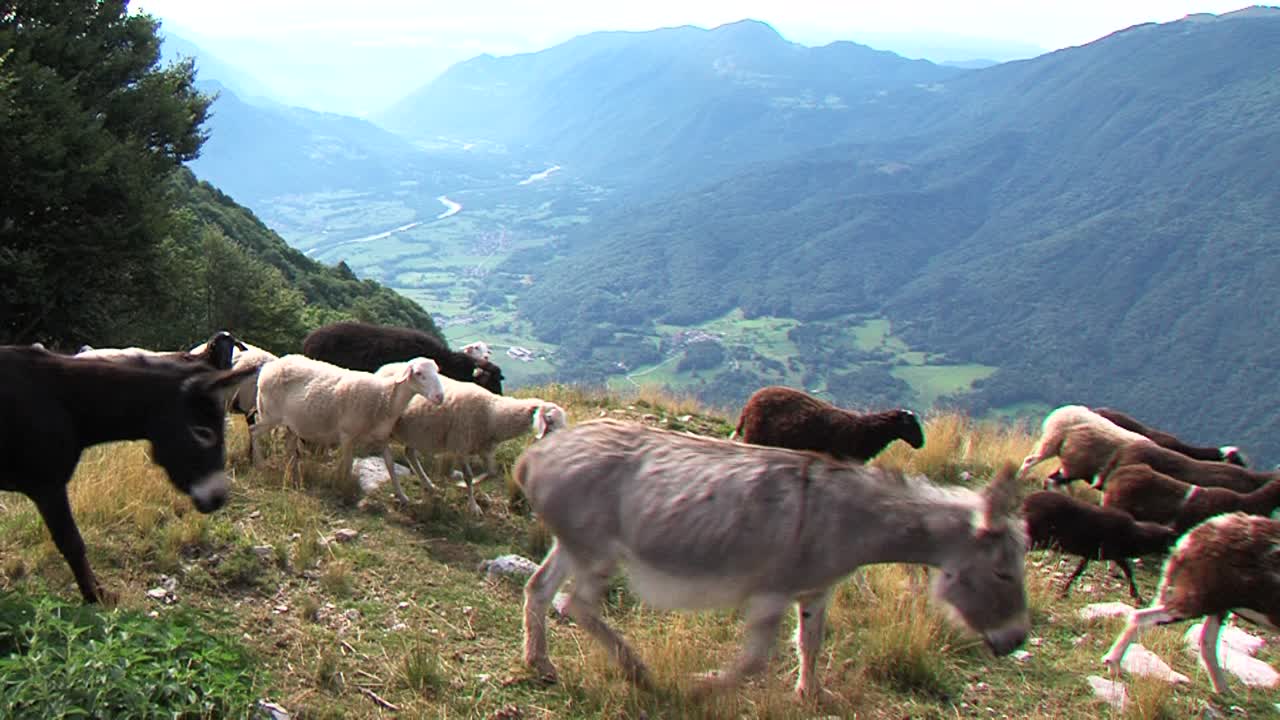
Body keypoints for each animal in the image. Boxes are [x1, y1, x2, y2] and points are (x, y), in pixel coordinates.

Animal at [0, 345, 255, 603]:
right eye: (203, 432)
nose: (219, 498)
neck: (65, 402)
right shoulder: (48, 486)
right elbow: (72, 542)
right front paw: (95, 596)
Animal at [251, 354, 445, 491]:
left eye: (437, 372)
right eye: (419, 373)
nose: (440, 397)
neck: (385, 398)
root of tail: (269, 367)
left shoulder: (381, 438)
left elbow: (390, 466)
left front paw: (402, 496)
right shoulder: (347, 435)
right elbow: (347, 463)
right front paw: (342, 485)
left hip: (292, 424)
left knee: (289, 447)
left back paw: (294, 474)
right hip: (270, 415)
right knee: (253, 431)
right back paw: (260, 464)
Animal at [374, 363, 567, 513]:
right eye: (550, 420)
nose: (564, 442)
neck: (493, 413)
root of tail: (382, 369)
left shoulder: (485, 448)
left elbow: (491, 472)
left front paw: (472, 483)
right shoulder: (460, 445)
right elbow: (468, 475)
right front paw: (473, 505)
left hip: (417, 431)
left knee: (410, 453)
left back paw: (428, 484)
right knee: (394, 458)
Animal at [1021, 490, 1177, 602]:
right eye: (1171, 541)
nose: (1176, 556)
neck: (1135, 535)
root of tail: (1027, 501)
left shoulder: (1090, 554)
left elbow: (1078, 571)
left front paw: (1064, 591)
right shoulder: (1115, 553)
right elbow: (1129, 572)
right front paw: (1137, 597)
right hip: (1037, 536)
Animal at [1101, 512, 1280, 694]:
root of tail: (1192, 537)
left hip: (1215, 604)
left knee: (1206, 643)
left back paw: (1222, 689)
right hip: (1199, 598)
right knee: (1141, 617)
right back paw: (1113, 664)